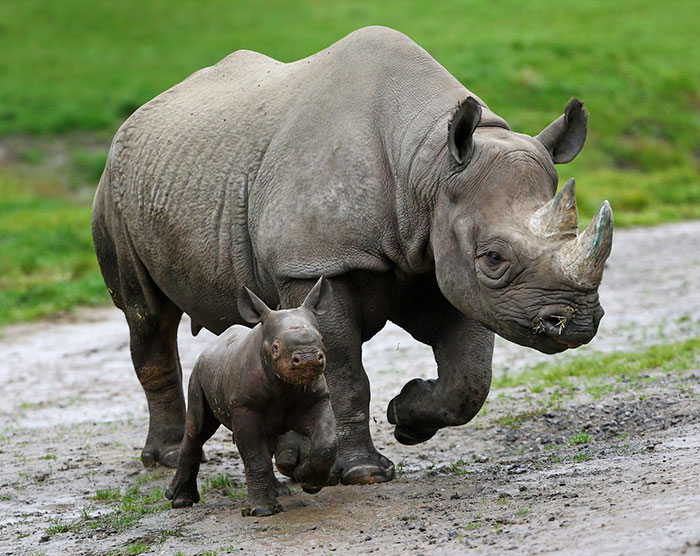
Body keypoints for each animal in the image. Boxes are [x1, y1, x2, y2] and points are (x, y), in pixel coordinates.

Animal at [92, 26, 612, 485]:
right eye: (494, 259)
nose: (578, 322)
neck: (427, 166)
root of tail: (135, 117)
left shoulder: (441, 258)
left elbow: (470, 376)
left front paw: (406, 414)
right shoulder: (314, 264)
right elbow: (343, 370)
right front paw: (363, 472)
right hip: (115, 186)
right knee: (148, 317)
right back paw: (166, 458)